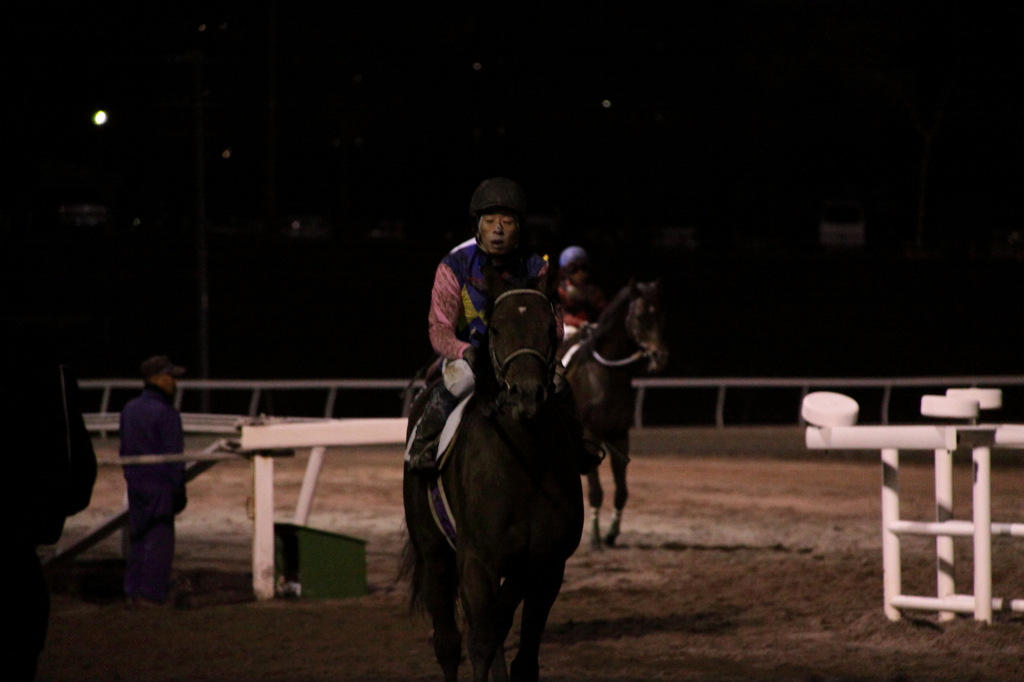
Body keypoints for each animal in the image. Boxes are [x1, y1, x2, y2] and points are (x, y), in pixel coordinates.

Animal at [403, 266, 589, 679]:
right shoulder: (476, 559)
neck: (526, 463)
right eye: (498, 329)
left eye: (549, 327)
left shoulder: (548, 563)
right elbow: (482, 640)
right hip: (433, 551)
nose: (527, 394)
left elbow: (520, 652)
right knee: (449, 642)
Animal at [561, 280, 671, 548]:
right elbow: (596, 492)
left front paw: (611, 533)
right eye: (640, 317)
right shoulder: (589, 434)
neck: (604, 374)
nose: (660, 357)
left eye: (662, 316)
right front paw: (595, 536)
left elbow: (621, 491)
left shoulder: (620, 433)